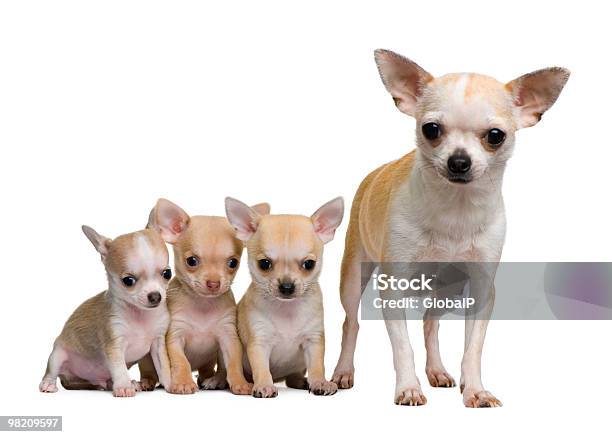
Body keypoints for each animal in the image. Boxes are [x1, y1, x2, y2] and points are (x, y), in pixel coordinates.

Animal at [38, 225, 172, 396]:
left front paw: (171, 384)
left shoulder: (158, 343)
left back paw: (127, 383)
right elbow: (119, 368)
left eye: (167, 273)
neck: (140, 315)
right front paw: (123, 386)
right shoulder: (114, 344)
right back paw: (48, 384)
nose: (155, 296)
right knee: (51, 371)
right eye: (128, 281)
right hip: (57, 355)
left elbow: (164, 367)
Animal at [145, 199, 268, 394]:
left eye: (233, 263)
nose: (213, 283)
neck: (203, 305)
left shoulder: (229, 337)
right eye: (191, 261)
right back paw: (147, 381)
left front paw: (240, 383)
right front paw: (183, 382)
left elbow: (233, 364)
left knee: (215, 370)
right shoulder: (175, 337)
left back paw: (214, 380)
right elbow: (181, 362)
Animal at [227, 196, 344, 396]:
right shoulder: (259, 342)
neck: (286, 310)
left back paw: (302, 381)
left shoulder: (313, 341)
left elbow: (317, 365)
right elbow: (261, 368)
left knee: (292, 378)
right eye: (264, 264)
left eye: (309, 264)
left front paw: (320, 382)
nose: (287, 286)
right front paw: (264, 385)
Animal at [332, 49, 572, 408]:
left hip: (446, 290)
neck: (455, 211)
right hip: (353, 277)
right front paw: (408, 388)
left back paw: (437, 370)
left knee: (430, 323)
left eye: (496, 136)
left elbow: (473, 348)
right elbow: (402, 346)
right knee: (351, 323)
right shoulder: (393, 287)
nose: (459, 161)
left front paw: (475, 389)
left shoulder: (482, 289)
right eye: (431, 129)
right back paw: (343, 371)